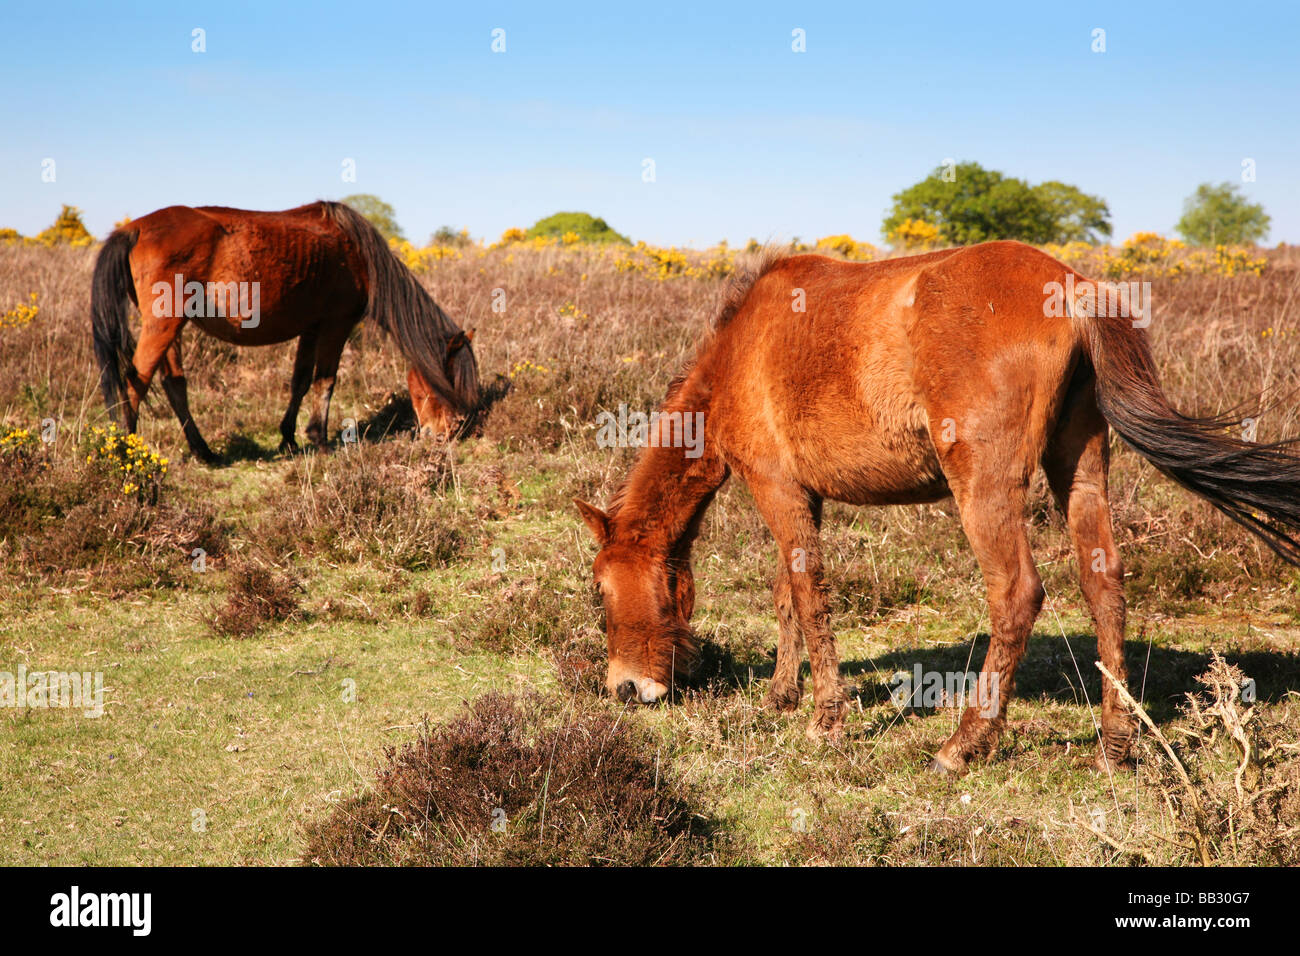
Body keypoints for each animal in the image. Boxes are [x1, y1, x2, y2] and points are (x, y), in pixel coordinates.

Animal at [90, 200, 481, 462]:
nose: (449, 434)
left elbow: (300, 382)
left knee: (174, 385)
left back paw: (204, 452)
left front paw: (290, 439)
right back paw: (128, 451)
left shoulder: (311, 328)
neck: (356, 253)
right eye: (449, 384)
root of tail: (135, 229)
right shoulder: (336, 325)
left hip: (171, 328)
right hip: (163, 325)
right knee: (134, 383)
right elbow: (325, 381)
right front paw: (320, 440)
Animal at [575, 240, 1300, 774]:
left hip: (983, 489)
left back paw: (963, 744)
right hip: (1081, 470)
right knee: (1105, 586)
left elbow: (807, 596)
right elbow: (787, 593)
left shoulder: (776, 488)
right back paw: (1114, 744)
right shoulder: (805, 496)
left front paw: (825, 720)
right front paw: (783, 694)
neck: (742, 350)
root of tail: (1072, 287)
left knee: (1016, 594)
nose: (624, 689)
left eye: (602, 591)